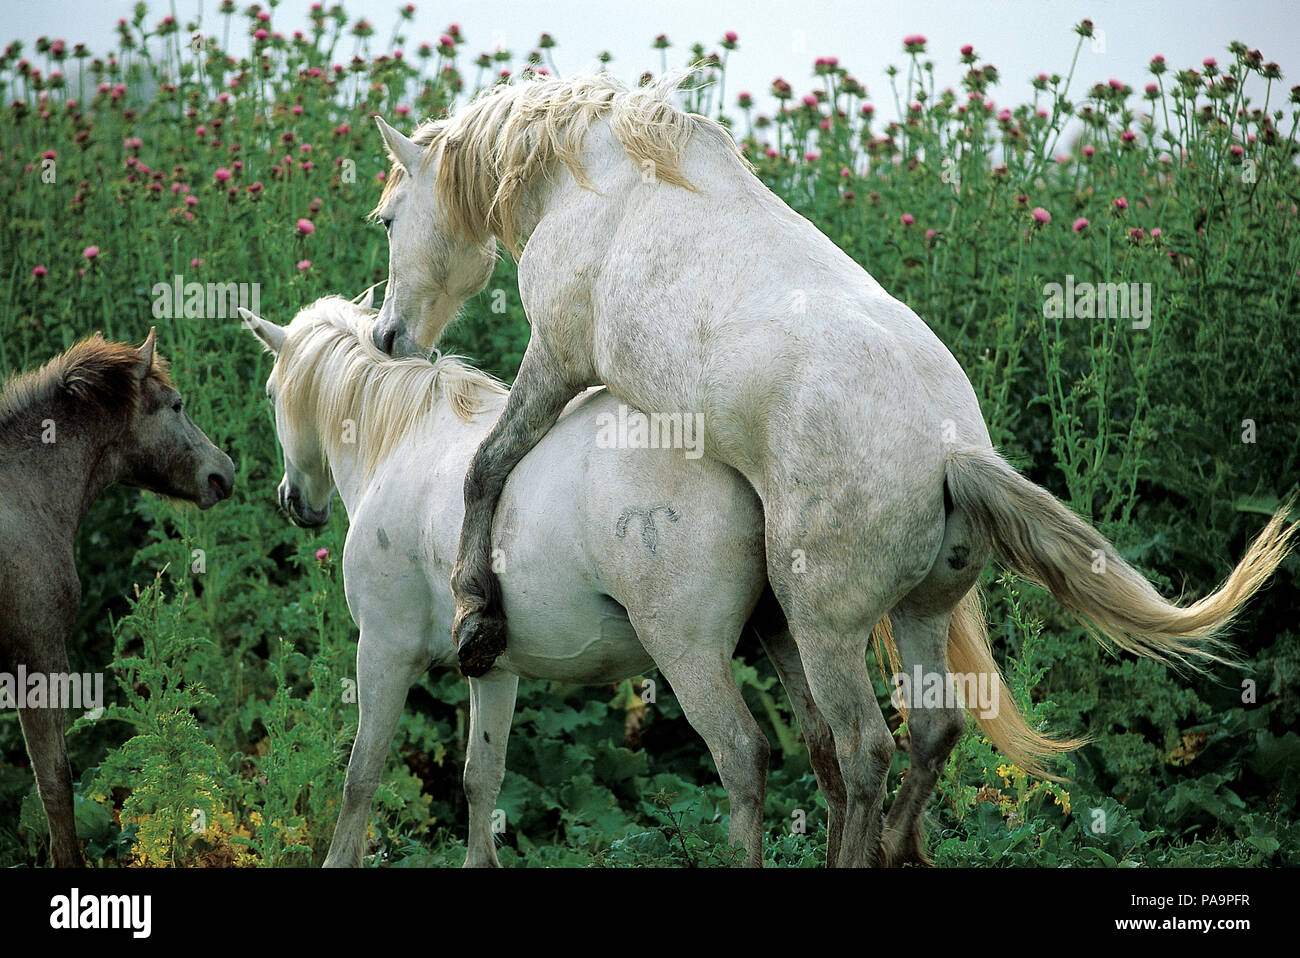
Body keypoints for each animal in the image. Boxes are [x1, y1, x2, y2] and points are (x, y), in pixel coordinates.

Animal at [366, 74, 1300, 868]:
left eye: (386, 218)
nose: (386, 337)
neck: (598, 176)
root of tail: (951, 455)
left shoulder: (557, 360)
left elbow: (486, 467)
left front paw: (477, 613)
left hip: (824, 627)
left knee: (863, 749)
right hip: (920, 617)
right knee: (932, 733)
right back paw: (895, 849)